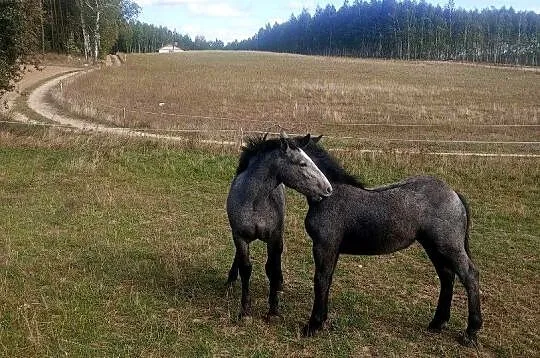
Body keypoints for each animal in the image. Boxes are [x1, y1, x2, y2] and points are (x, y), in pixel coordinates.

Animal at [225, 133, 334, 318]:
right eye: (302, 163)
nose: (328, 189)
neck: (254, 202)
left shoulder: (274, 238)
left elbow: (272, 269)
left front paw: (273, 309)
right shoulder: (240, 237)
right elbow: (246, 268)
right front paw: (245, 310)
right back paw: (231, 278)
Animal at [302, 135, 484, 346]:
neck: (330, 195)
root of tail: (454, 193)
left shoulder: (324, 246)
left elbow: (321, 280)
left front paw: (313, 325)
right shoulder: (332, 249)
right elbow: (327, 280)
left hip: (449, 246)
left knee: (469, 275)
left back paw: (471, 331)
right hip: (433, 247)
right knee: (447, 276)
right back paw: (438, 322)